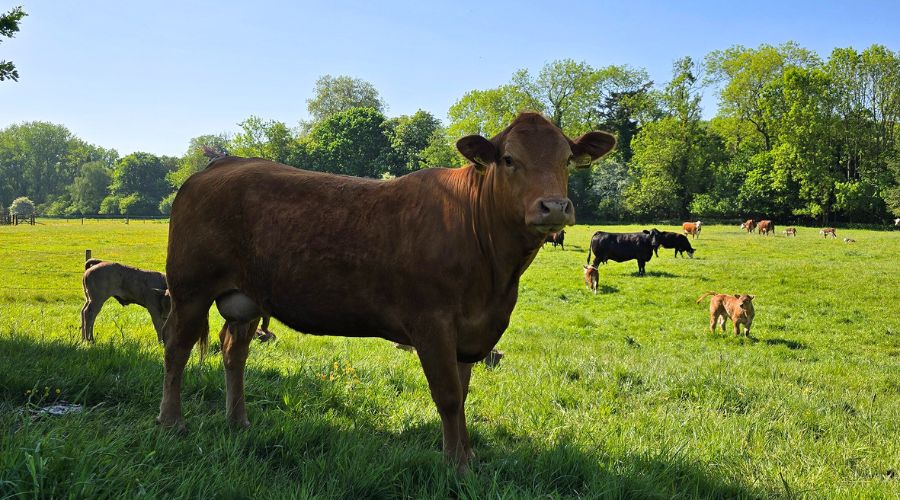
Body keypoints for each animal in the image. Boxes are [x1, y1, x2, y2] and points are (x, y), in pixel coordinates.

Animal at [156, 113, 616, 472]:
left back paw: (239, 421)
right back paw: (171, 422)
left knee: (233, 351)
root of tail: (219, 164)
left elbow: (463, 392)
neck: (495, 274)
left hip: (247, 299)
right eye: (508, 159)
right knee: (177, 348)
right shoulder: (432, 323)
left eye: (567, 159)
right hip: (190, 288)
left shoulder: (472, 330)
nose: (554, 207)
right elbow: (449, 396)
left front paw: (465, 454)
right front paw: (457, 465)